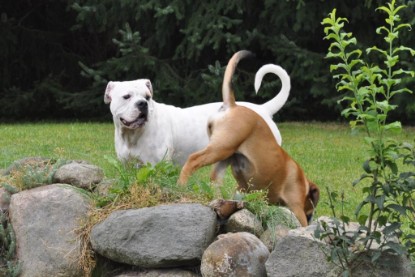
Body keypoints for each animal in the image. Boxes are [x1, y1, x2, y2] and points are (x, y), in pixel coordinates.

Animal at [105, 56, 290, 164]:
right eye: (127, 96)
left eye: (147, 97)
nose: (142, 104)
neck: (132, 136)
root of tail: (263, 109)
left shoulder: (157, 164)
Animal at [179, 50, 322, 225]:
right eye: (309, 213)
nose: (311, 219)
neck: (303, 182)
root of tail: (232, 105)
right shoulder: (296, 206)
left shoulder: (241, 190)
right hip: (221, 148)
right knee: (193, 160)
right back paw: (181, 185)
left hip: (226, 156)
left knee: (214, 179)